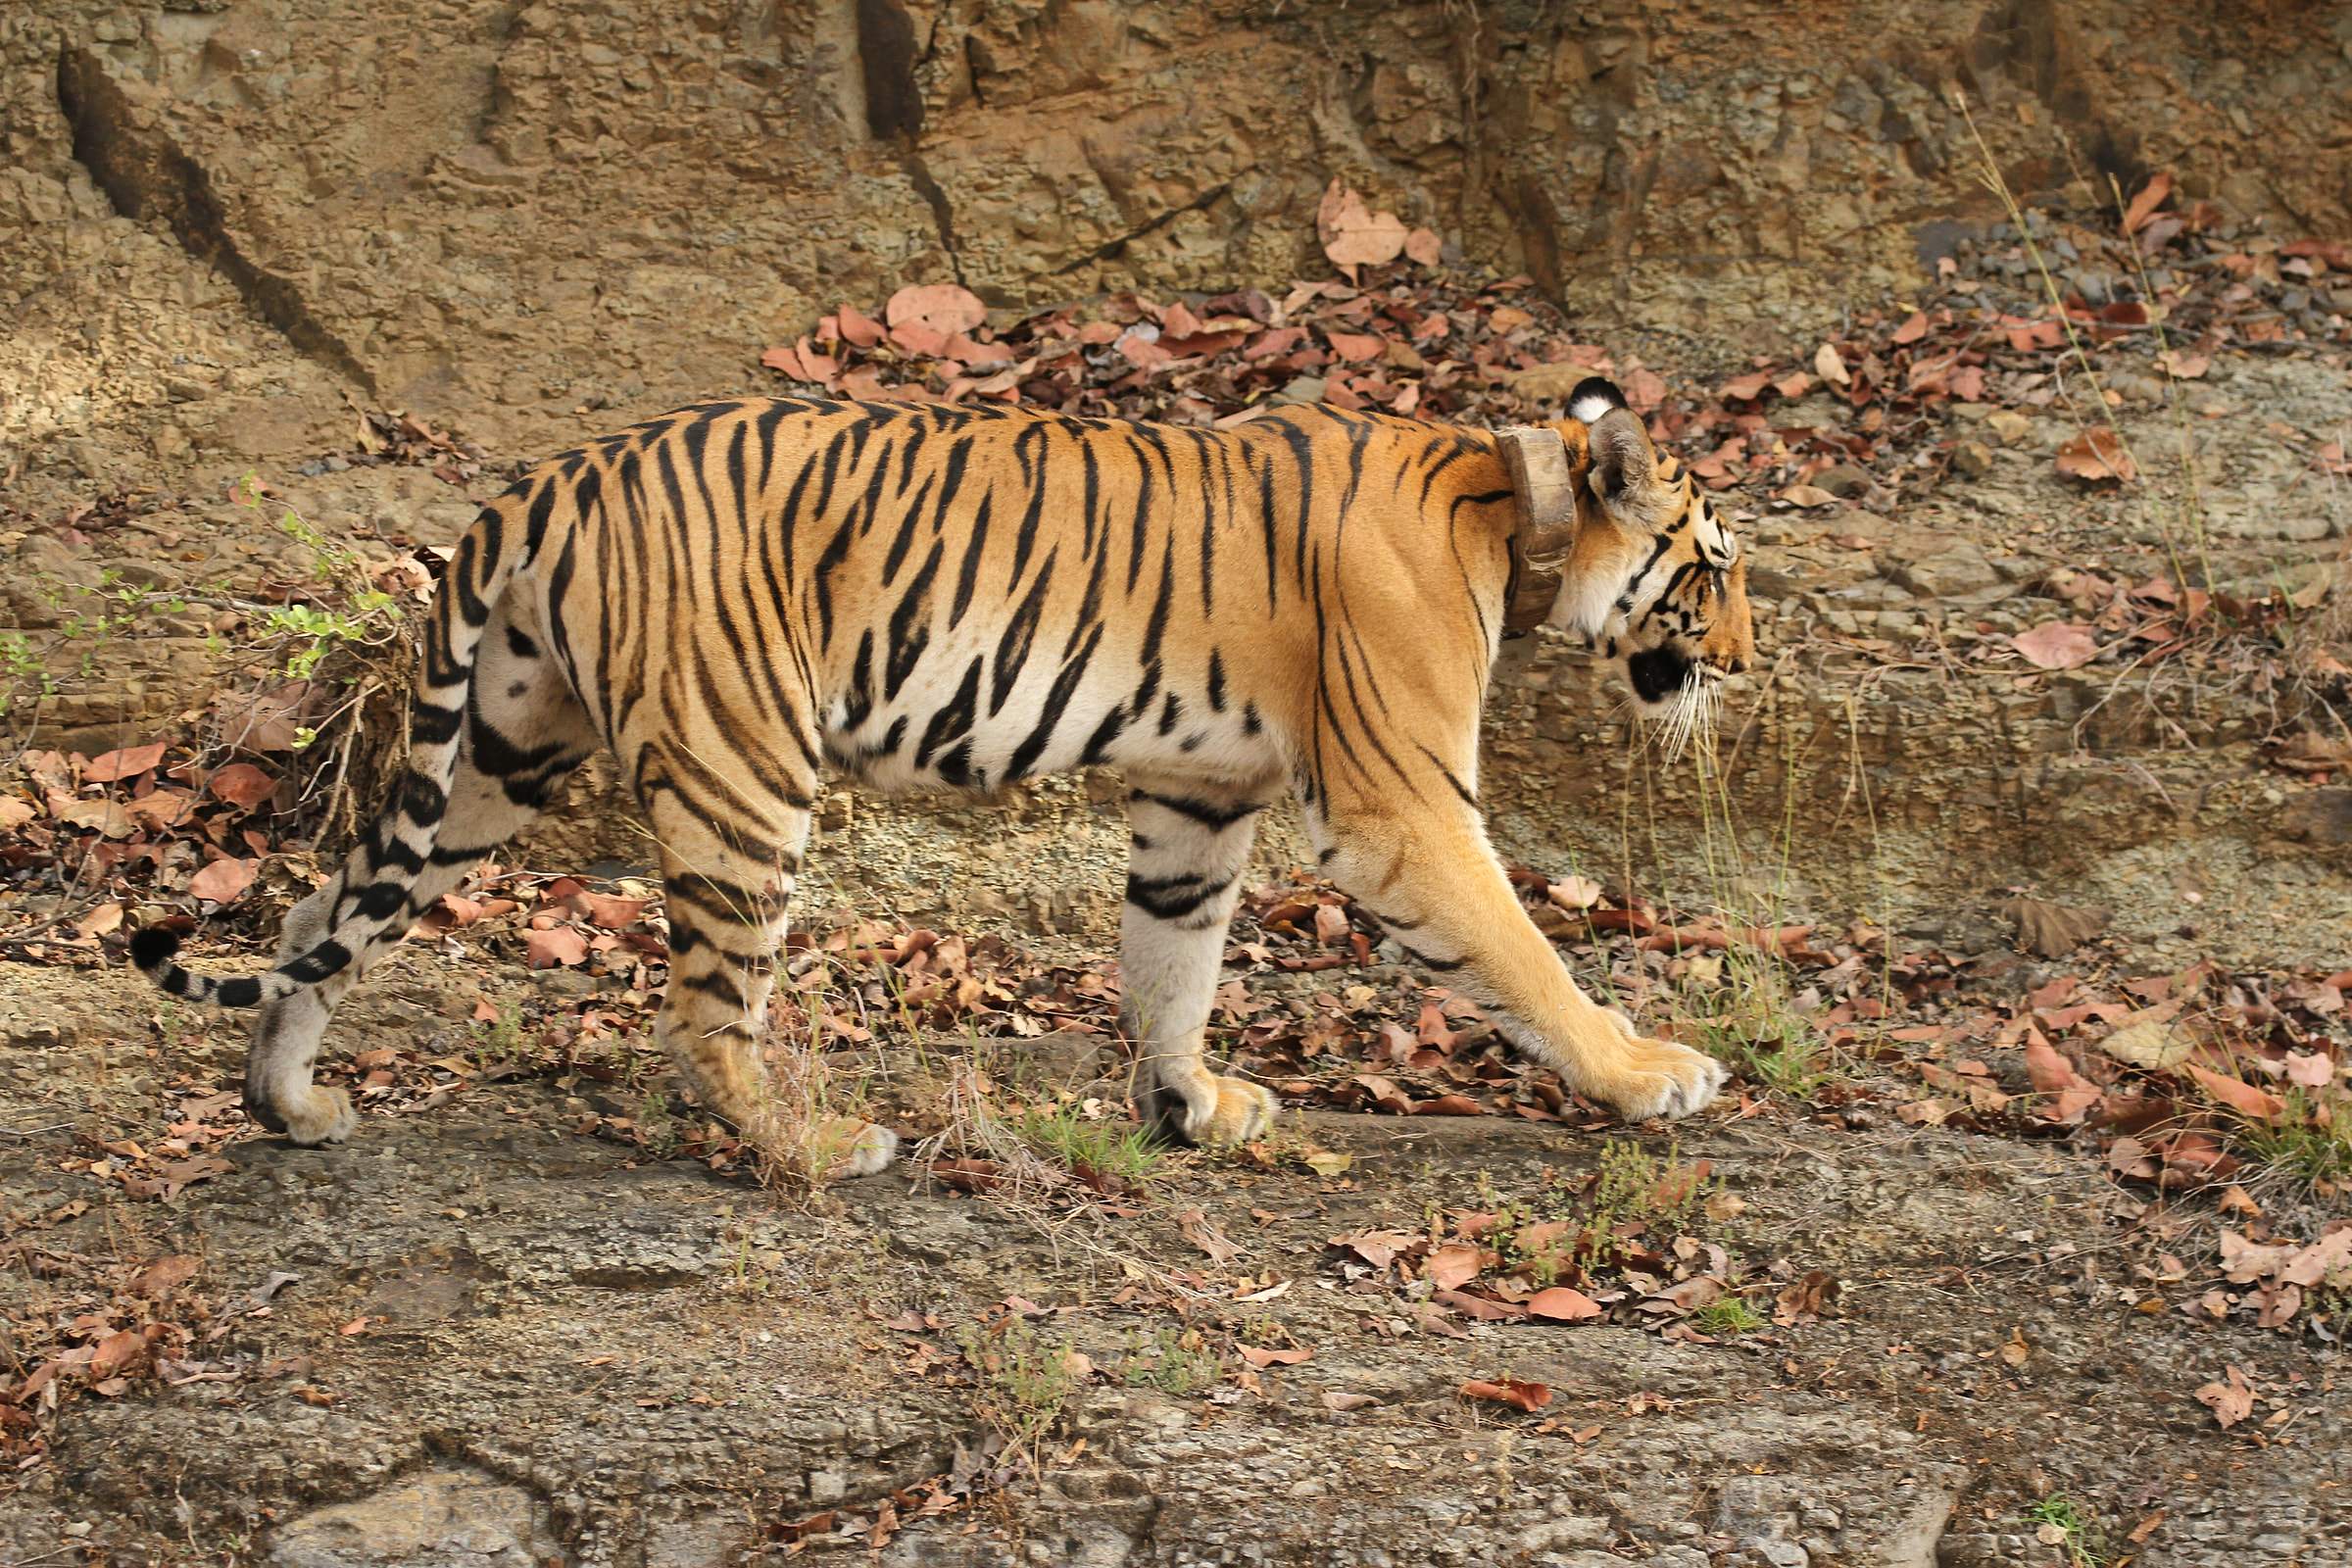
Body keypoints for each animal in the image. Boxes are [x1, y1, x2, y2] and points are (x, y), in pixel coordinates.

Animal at [131, 376, 1755, 1178]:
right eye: (1718, 565)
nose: (1744, 659)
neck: (1511, 511)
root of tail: (554, 473)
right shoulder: (1399, 810)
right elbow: (1526, 956)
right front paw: (1648, 1074)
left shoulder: (1200, 801)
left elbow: (1173, 960)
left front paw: (1189, 1106)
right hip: (741, 773)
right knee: (703, 1011)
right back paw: (816, 1146)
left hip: (497, 754)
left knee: (323, 912)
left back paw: (290, 1107)